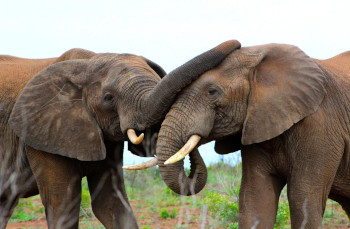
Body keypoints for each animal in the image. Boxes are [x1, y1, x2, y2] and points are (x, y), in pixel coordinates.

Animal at [0, 40, 241, 229]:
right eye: (109, 98)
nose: (237, 44)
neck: (88, 62)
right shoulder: (41, 134)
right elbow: (63, 207)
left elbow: (111, 204)